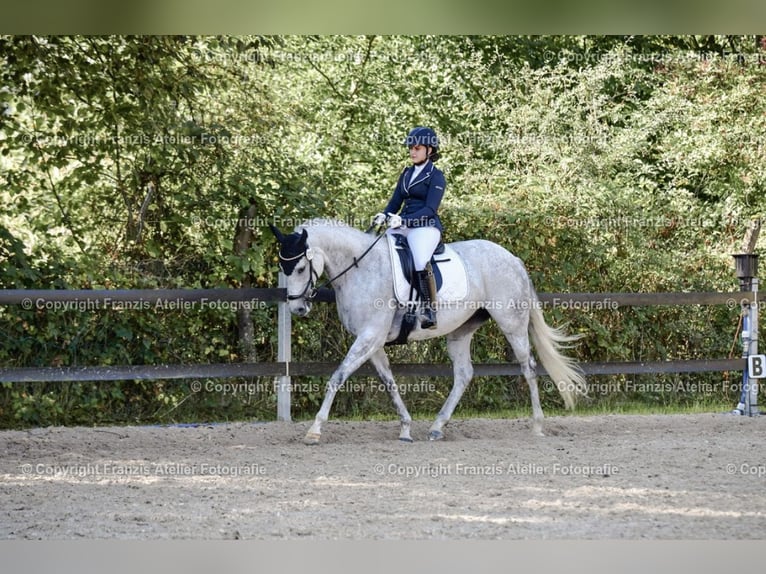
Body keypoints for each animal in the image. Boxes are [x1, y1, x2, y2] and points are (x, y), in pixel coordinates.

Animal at [269, 218, 586, 444]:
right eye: (283, 268)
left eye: (300, 268)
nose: (297, 309)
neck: (361, 268)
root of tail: (514, 259)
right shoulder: (373, 342)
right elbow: (389, 383)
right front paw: (406, 429)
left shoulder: (369, 336)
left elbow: (337, 377)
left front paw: (314, 430)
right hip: (460, 331)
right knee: (464, 374)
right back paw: (437, 427)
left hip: (512, 323)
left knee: (528, 367)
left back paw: (537, 426)